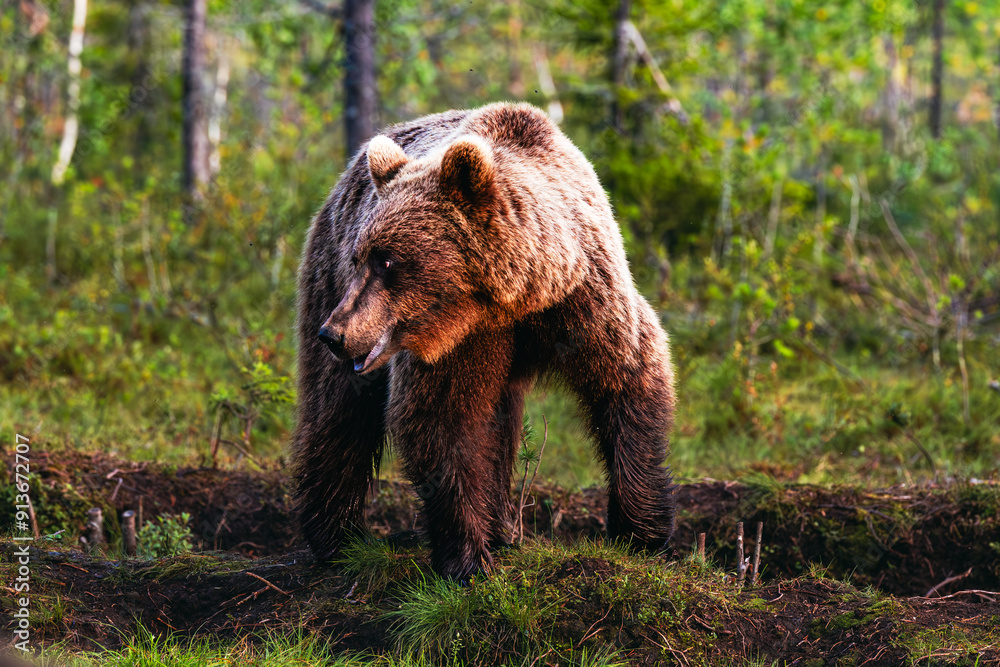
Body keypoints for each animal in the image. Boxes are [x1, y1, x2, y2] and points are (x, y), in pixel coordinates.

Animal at [293, 102, 676, 580]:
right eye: (363, 256)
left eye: (388, 260)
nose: (336, 333)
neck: (519, 296)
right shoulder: (460, 340)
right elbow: (444, 418)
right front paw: (468, 559)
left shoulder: (583, 300)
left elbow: (628, 377)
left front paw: (643, 536)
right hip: (327, 278)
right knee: (337, 408)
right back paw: (338, 536)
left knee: (500, 419)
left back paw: (500, 529)